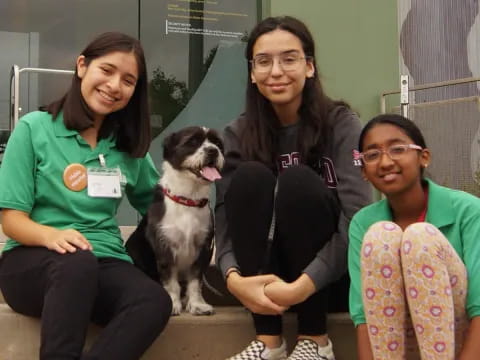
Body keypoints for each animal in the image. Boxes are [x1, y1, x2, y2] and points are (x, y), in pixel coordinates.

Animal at [124, 126, 224, 316]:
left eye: (217, 142)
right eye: (192, 141)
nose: (213, 151)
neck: (188, 199)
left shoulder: (203, 247)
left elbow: (195, 281)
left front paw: (197, 304)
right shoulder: (164, 246)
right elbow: (171, 281)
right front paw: (173, 303)